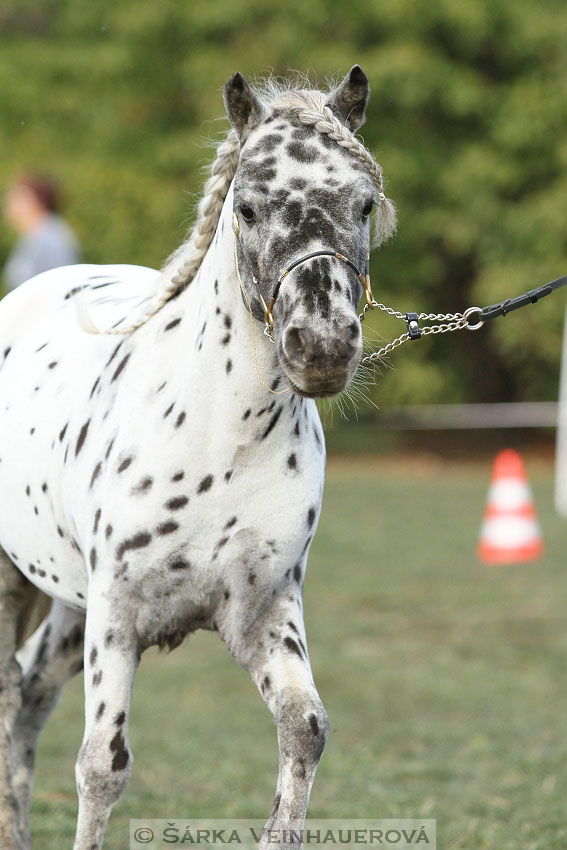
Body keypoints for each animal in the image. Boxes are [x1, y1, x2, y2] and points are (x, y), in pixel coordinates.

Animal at [0, 66, 394, 848]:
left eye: (364, 203)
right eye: (245, 206)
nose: (321, 346)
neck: (220, 440)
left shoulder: (262, 611)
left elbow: (304, 730)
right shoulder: (117, 615)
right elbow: (102, 765)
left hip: (65, 603)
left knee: (26, 699)